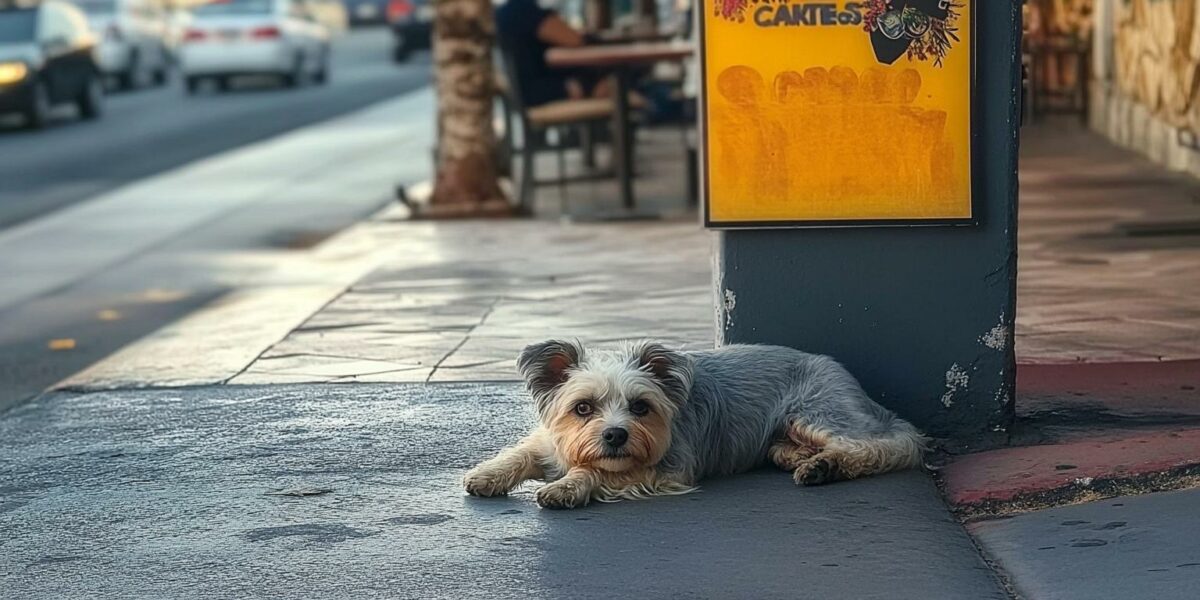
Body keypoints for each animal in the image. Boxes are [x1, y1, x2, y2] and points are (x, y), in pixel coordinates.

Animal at [460, 340, 926, 508]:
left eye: (641, 407)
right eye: (582, 408)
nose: (615, 435)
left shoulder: (664, 471)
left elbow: (595, 472)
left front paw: (567, 485)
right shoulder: (551, 441)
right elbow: (522, 451)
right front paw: (487, 474)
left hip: (817, 412)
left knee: (886, 446)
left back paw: (825, 465)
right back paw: (799, 459)